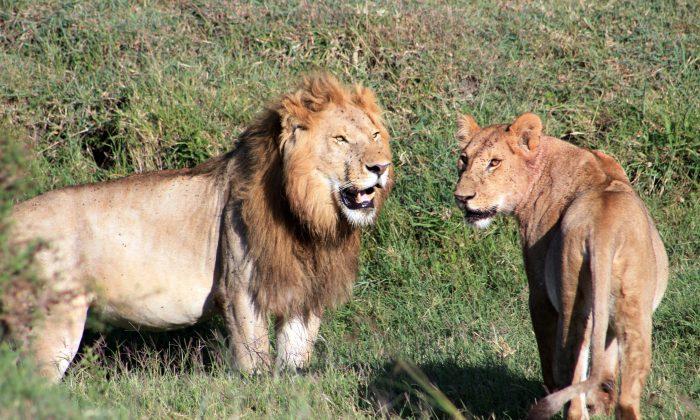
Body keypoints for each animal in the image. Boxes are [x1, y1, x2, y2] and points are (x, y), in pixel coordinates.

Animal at [9, 74, 393, 381]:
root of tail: (11, 217)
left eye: (375, 134)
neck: (309, 218)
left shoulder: (303, 292)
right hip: (52, 322)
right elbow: (255, 360)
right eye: (341, 139)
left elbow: (295, 359)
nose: (381, 167)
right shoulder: (241, 289)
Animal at [453, 113, 668, 419]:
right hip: (635, 314)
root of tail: (603, 230)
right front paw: (600, 404)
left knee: (572, 390)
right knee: (626, 399)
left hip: (570, 306)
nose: (461, 198)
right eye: (463, 158)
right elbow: (606, 369)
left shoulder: (539, 294)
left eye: (494, 162)